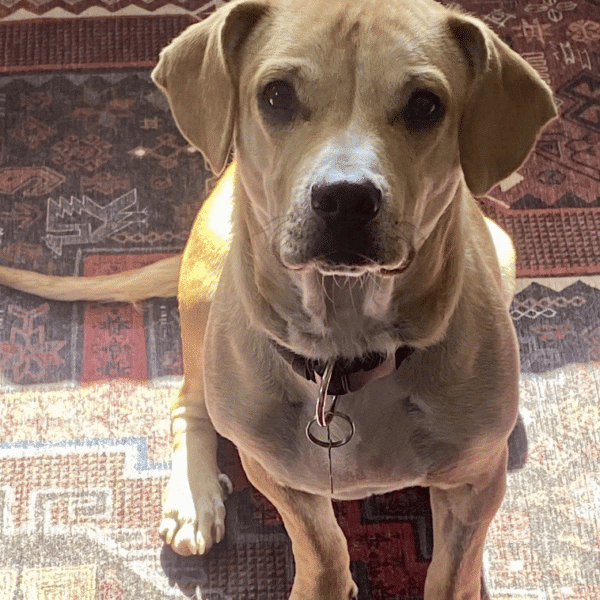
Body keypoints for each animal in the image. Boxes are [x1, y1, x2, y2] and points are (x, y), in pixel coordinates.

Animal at [0, 1, 556, 600]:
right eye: (276, 95)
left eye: (426, 104)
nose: (346, 197)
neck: (344, 350)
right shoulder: (275, 472)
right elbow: (322, 545)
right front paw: (324, 582)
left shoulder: (476, 481)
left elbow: (453, 567)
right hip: (207, 294)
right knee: (188, 402)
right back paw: (194, 499)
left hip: (505, 252)